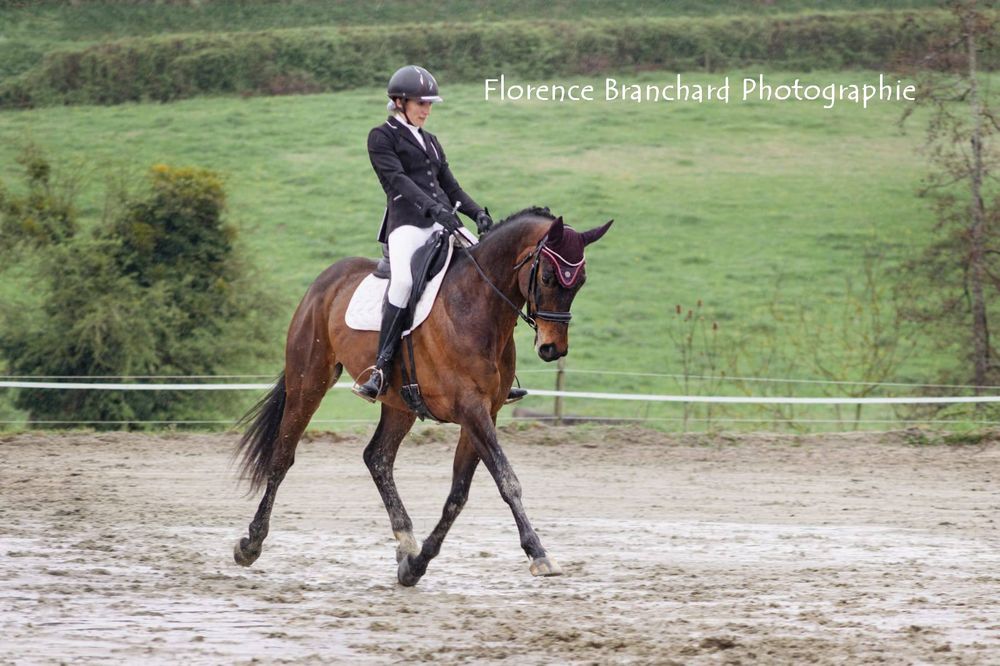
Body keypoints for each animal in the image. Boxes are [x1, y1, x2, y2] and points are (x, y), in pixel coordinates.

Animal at [233, 207, 612, 586]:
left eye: (580, 282)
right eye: (547, 277)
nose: (552, 349)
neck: (477, 307)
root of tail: (325, 280)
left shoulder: (483, 414)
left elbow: (458, 495)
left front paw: (417, 564)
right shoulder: (472, 410)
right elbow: (507, 481)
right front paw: (538, 553)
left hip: (400, 403)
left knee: (378, 458)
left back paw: (406, 542)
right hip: (308, 381)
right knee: (282, 457)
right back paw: (251, 543)